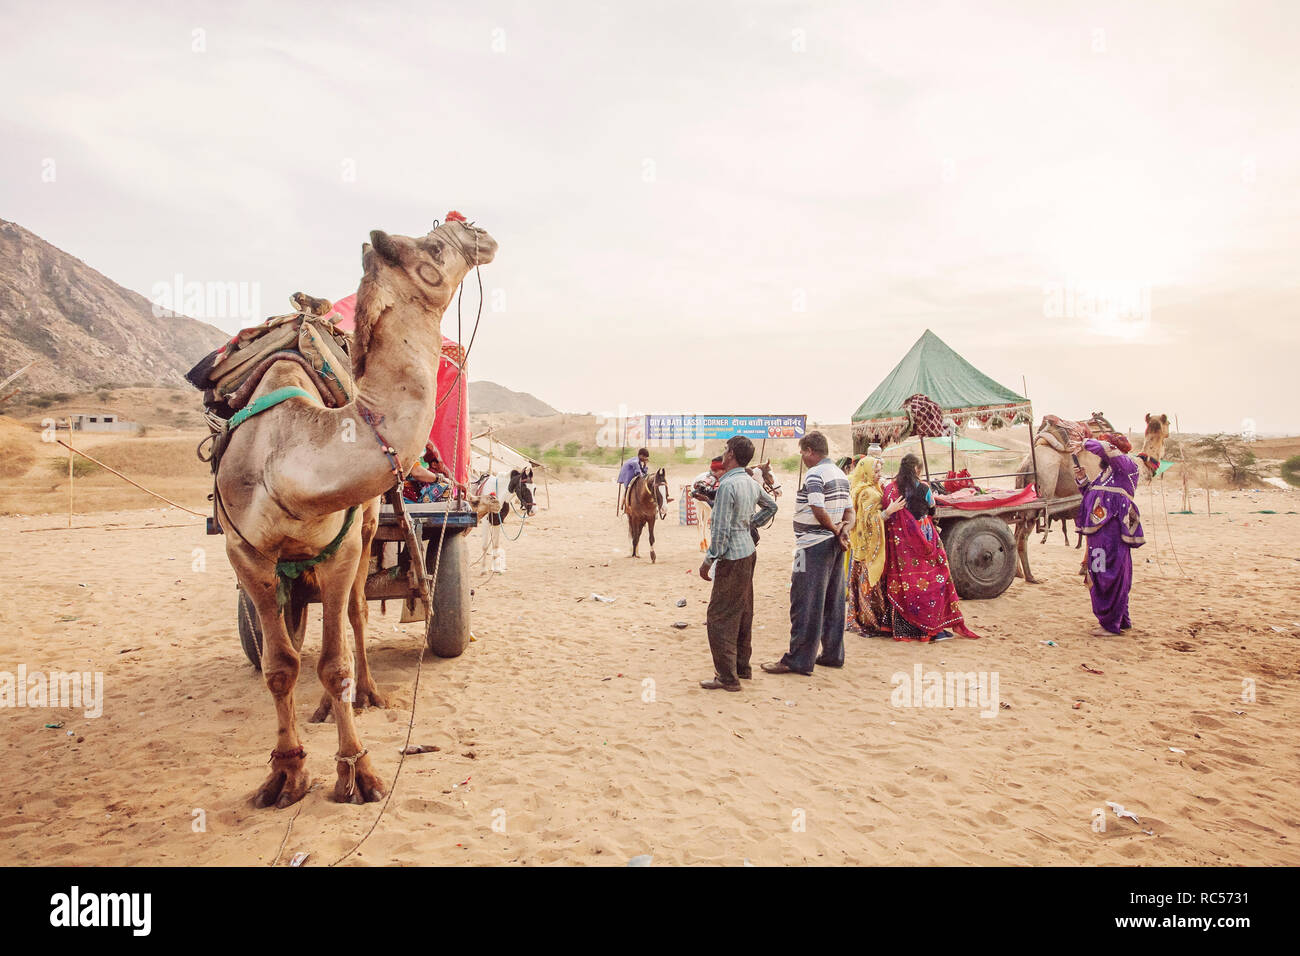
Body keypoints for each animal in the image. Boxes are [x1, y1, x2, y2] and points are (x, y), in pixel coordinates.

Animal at [213, 218, 496, 806]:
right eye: (434, 246)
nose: (478, 230)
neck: (285, 459)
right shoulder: (244, 554)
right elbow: (279, 666)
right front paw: (285, 772)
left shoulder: (342, 546)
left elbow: (336, 656)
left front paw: (356, 771)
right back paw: (320, 709)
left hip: (364, 529)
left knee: (354, 615)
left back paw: (366, 694)